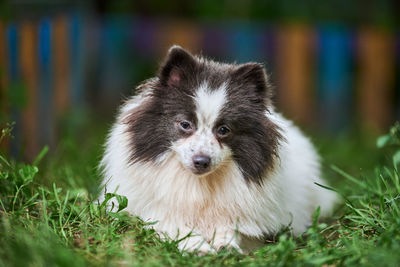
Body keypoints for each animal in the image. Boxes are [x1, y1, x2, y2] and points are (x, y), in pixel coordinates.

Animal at [98, 45, 336, 254]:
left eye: (224, 130)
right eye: (185, 124)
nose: (201, 161)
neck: (200, 184)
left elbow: (232, 228)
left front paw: (226, 245)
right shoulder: (147, 211)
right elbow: (171, 223)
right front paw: (196, 246)